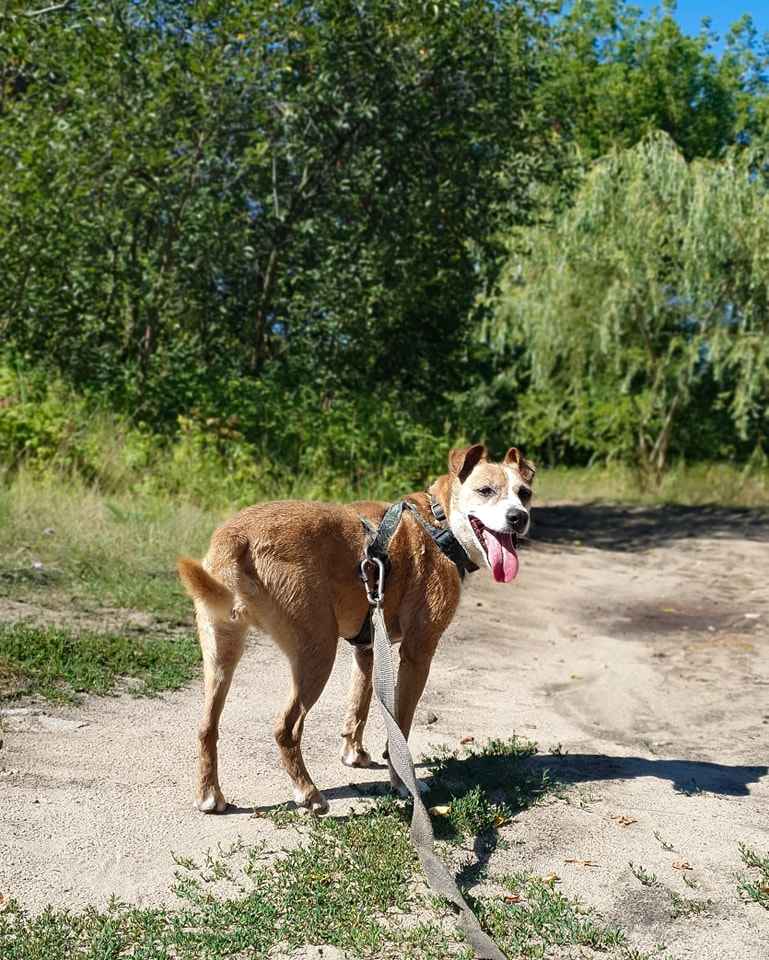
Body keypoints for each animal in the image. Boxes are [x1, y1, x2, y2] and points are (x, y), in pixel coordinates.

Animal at [178, 442, 536, 808]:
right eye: (485, 490)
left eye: (524, 493)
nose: (518, 517)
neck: (439, 522)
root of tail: (235, 536)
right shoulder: (417, 653)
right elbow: (400, 726)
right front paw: (403, 783)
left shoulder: (367, 650)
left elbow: (358, 706)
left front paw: (355, 754)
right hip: (317, 653)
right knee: (286, 728)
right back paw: (308, 792)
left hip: (221, 652)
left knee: (206, 726)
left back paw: (209, 794)